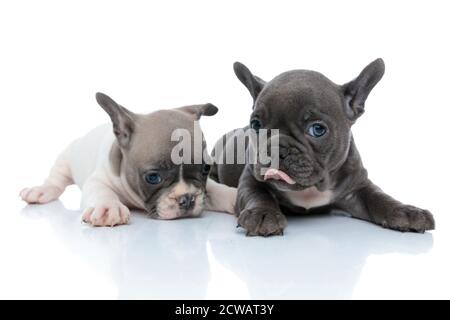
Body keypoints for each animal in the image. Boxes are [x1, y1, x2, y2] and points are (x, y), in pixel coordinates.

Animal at [20, 92, 236, 226]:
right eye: (153, 177)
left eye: (206, 169)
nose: (187, 199)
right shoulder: (99, 179)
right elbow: (101, 191)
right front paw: (108, 207)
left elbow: (216, 190)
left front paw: (234, 196)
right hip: (67, 157)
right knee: (56, 179)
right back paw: (39, 191)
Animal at [213, 58, 434, 236]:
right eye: (256, 125)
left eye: (317, 129)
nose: (275, 149)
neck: (311, 188)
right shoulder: (251, 177)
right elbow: (256, 194)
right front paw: (263, 214)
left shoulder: (357, 187)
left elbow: (379, 197)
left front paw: (406, 211)